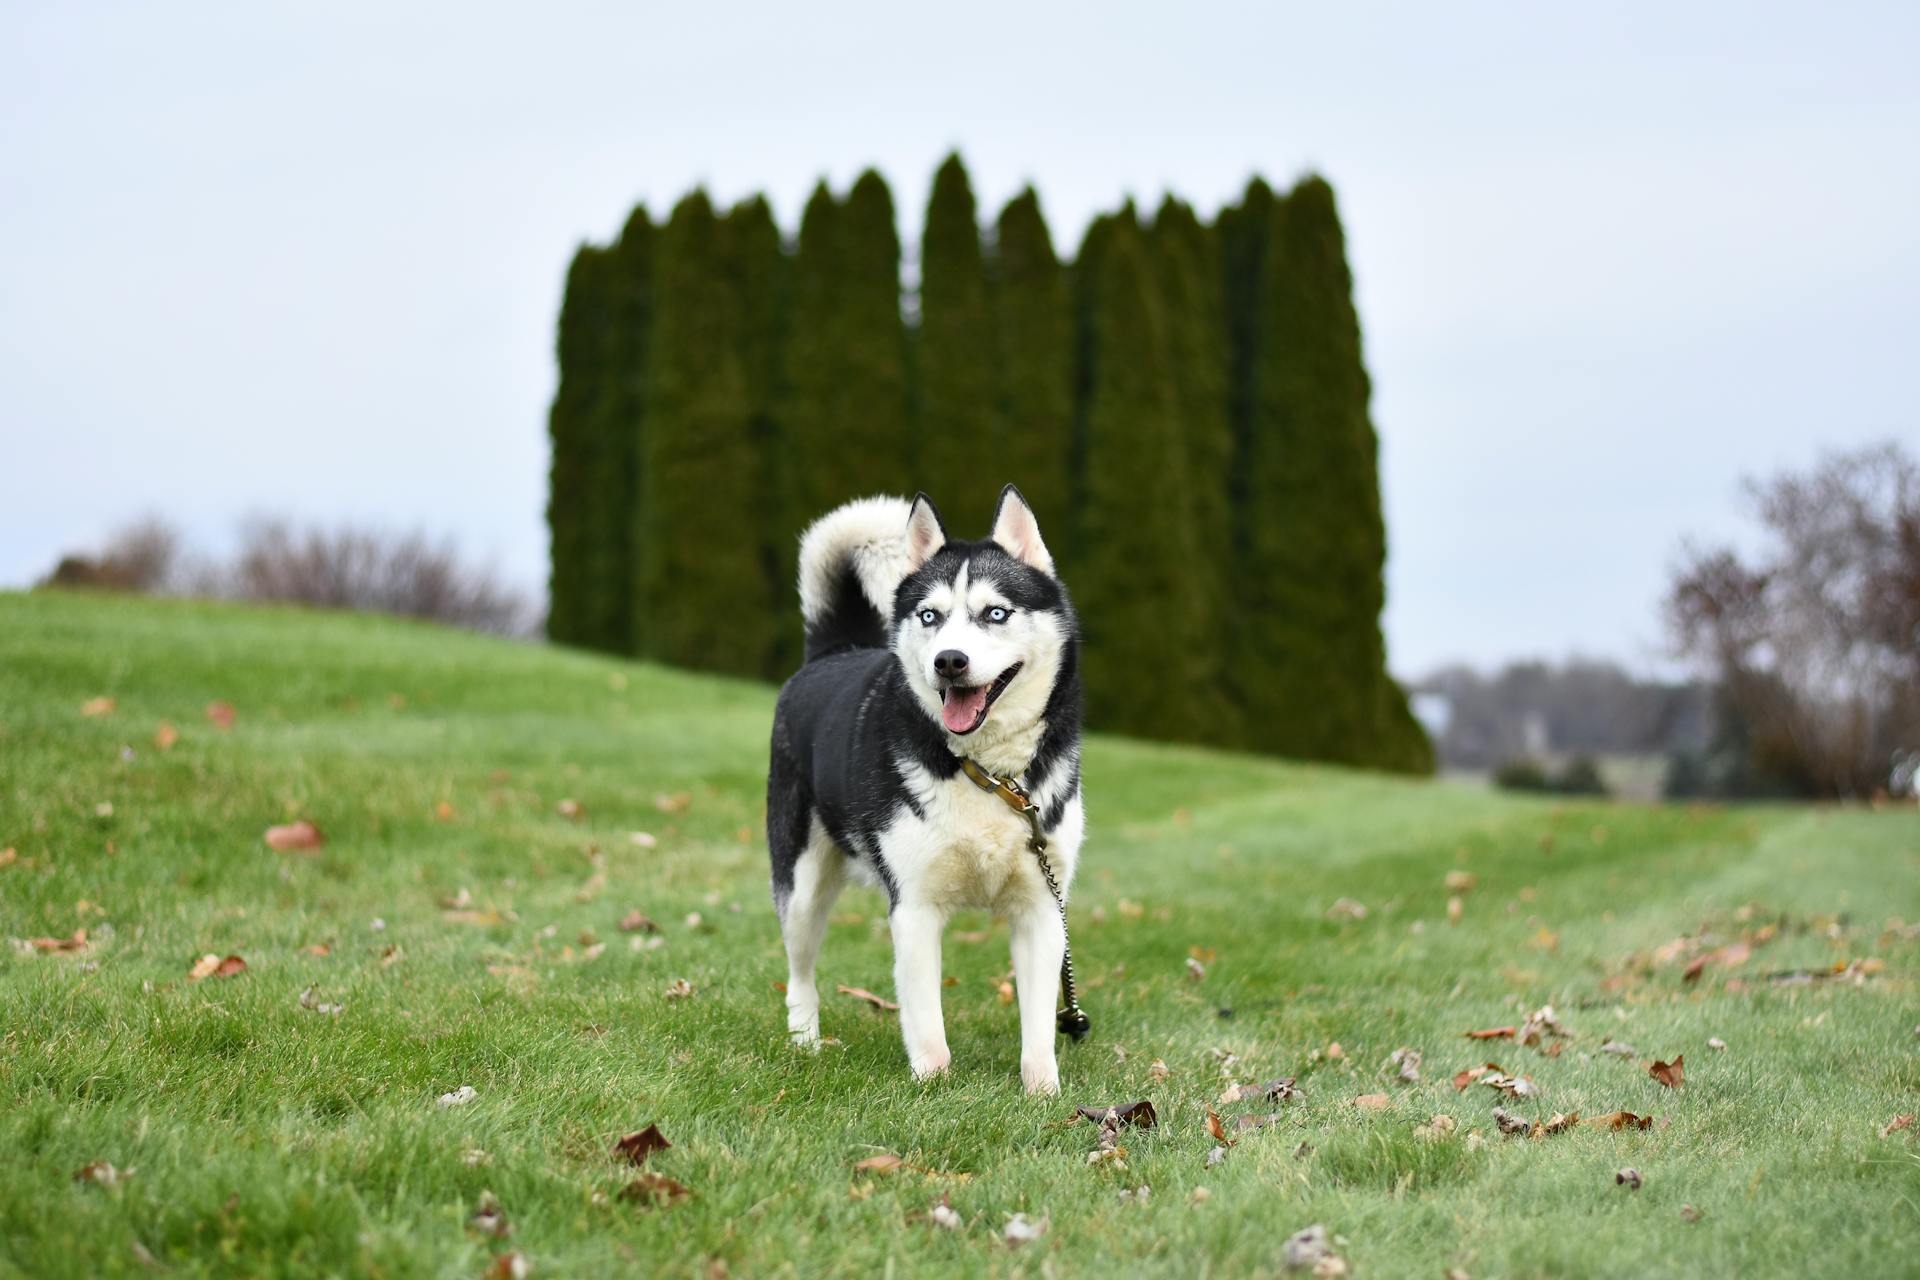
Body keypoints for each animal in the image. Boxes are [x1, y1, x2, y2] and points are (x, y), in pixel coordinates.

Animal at [771, 485, 1090, 1097]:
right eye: (930, 616)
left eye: (995, 613)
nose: (949, 661)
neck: (990, 774)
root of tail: (834, 652)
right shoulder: (915, 907)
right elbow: (926, 1020)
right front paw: (931, 1088)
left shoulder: (1043, 908)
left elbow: (1039, 1022)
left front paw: (1043, 1094)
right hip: (799, 885)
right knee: (799, 968)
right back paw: (803, 1041)